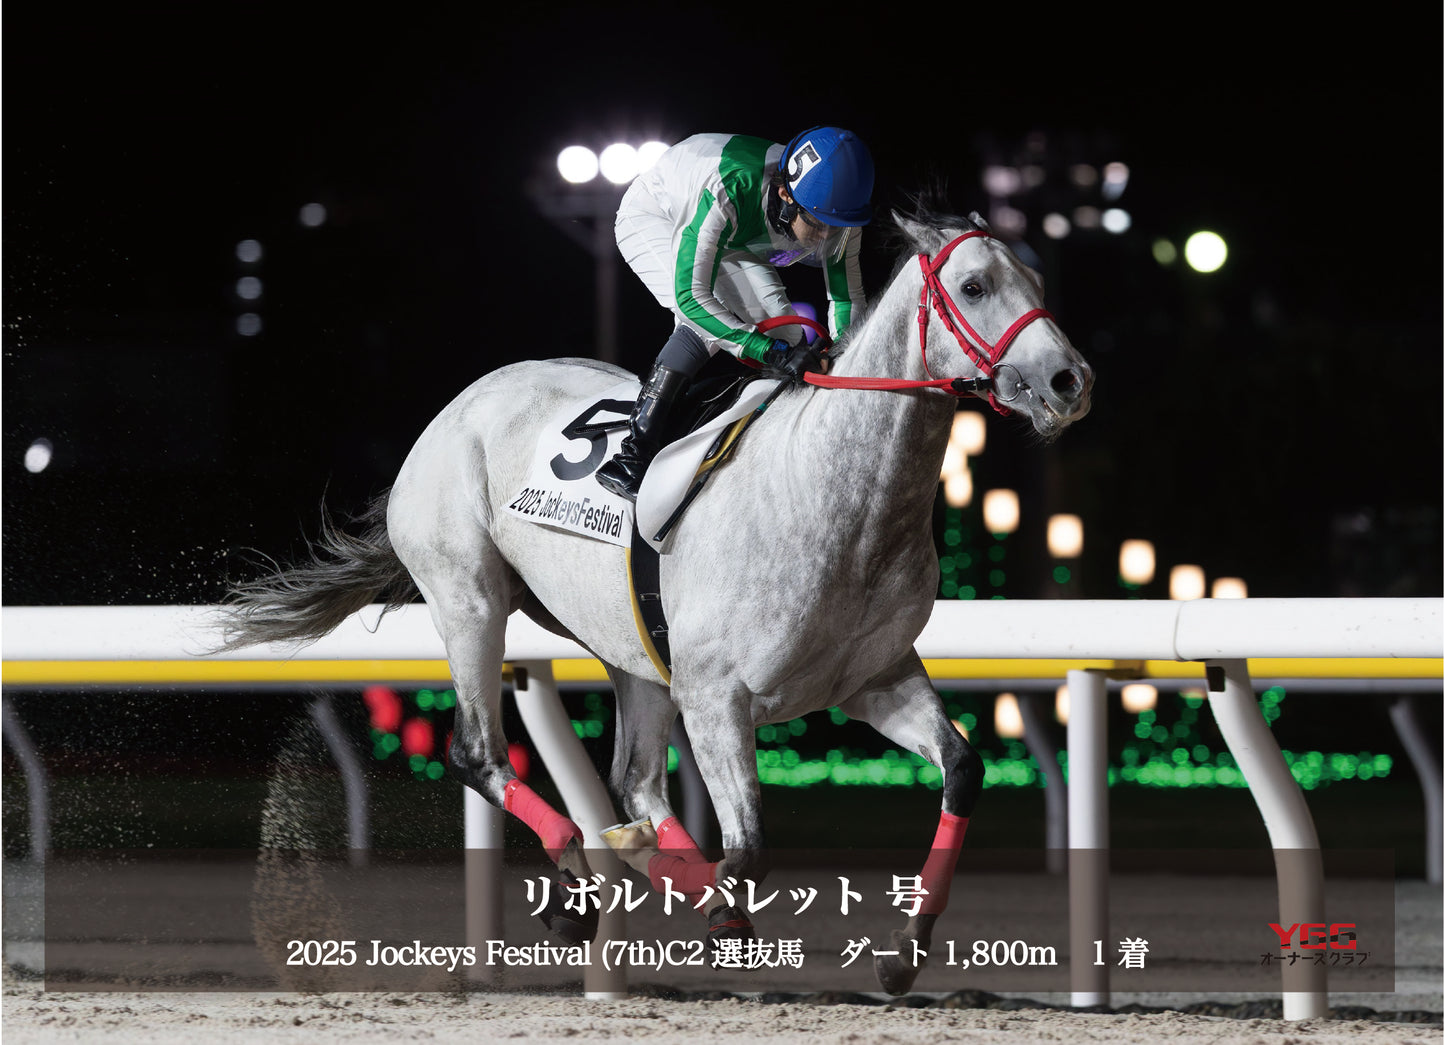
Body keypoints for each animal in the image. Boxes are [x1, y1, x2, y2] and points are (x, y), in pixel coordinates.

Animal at [218, 204, 1093, 994]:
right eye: (974, 285)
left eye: (1038, 280)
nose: (1069, 381)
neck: (836, 499)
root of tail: (463, 402)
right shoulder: (715, 696)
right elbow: (748, 846)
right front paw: (717, 917)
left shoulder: (872, 678)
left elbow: (962, 768)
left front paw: (902, 951)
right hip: (468, 596)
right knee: (479, 750)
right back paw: (574, 882)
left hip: (632, 647)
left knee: (634, 780)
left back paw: (622, 855)